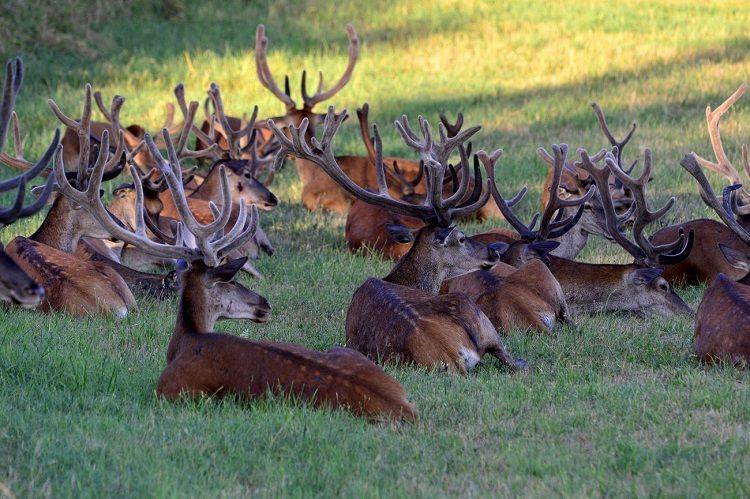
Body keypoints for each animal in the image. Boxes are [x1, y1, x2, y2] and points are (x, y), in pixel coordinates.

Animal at [58, 127, 420, 424]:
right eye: (230, 280)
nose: (265, 303)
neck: (188, 340)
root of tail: (404, 409)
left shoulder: (170, 389)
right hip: (348, 353)